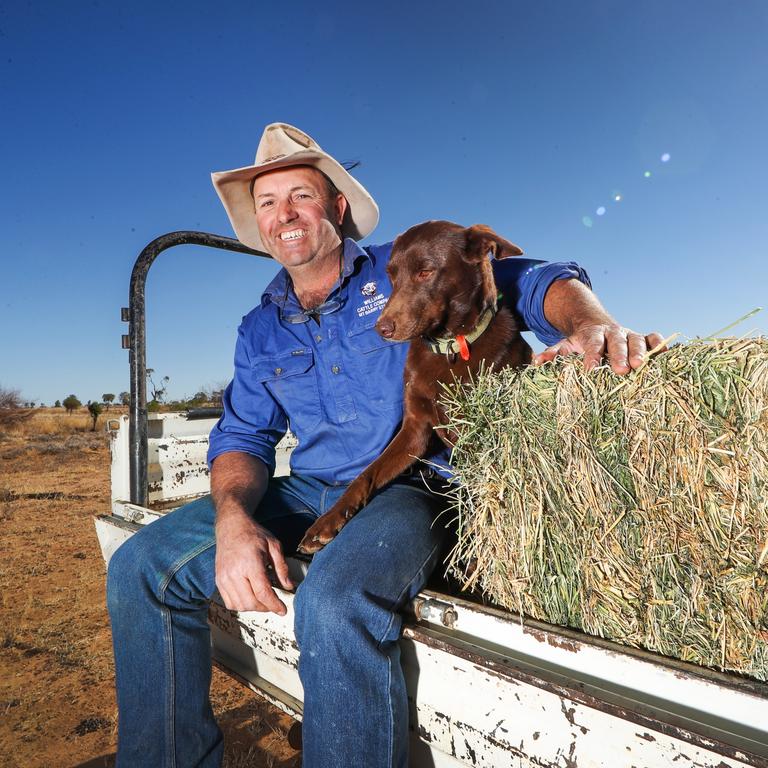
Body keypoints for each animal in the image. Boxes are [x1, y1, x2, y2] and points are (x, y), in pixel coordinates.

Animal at [296, 220, 532, 552]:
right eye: (392, 276)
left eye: (425, 271)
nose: (382, 329)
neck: (448, 348)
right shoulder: (414, 432)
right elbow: (366, 474)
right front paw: (328, 521)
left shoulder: (477, 436)